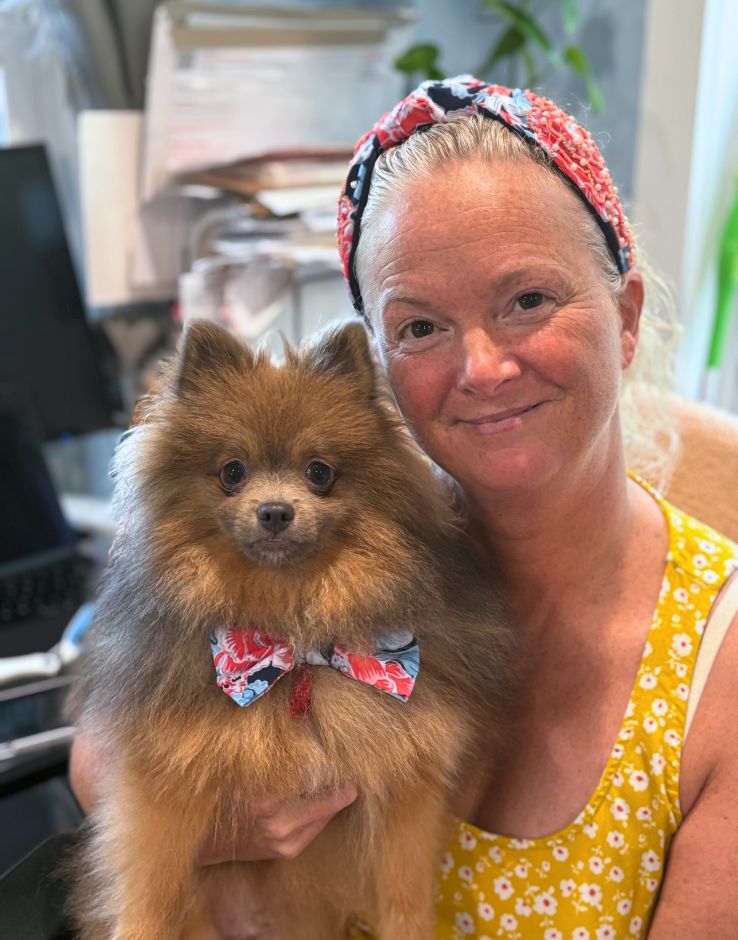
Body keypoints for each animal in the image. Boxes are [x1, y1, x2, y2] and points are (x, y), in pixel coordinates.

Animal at [70, 320, 512, 936]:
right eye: (232, 472)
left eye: (319, 472)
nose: (275, 511)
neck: (292, 637)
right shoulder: (164, 777)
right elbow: (151, 889)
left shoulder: (406, 783)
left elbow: (404, 891)